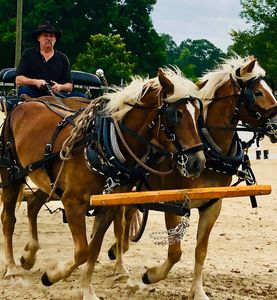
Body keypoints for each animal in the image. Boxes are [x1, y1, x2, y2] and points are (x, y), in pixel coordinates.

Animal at [0, 68, 205, 300]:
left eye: (198, 116)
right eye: (176, 115)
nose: (197, 162)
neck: (102, 145)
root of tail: (24, 102)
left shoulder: (107, 206)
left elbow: (93, 249)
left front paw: (87, 291)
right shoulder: (72, 203)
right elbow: (82, 252)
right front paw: (51, 276)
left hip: (47, 180)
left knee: (33, 204)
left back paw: (29, 256)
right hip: (12, 174)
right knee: (8, 219)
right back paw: (11, 268)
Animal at [110, 56, 276, 300]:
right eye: (257, 92)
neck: (208, 148)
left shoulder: (212, 205)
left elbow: (201, 250)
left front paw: (197, 291)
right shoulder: (175, 204)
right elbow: (175, 252)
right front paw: (150, 275)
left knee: (129, 214)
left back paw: (118, 250)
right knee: (119, 220)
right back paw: (119, 263)